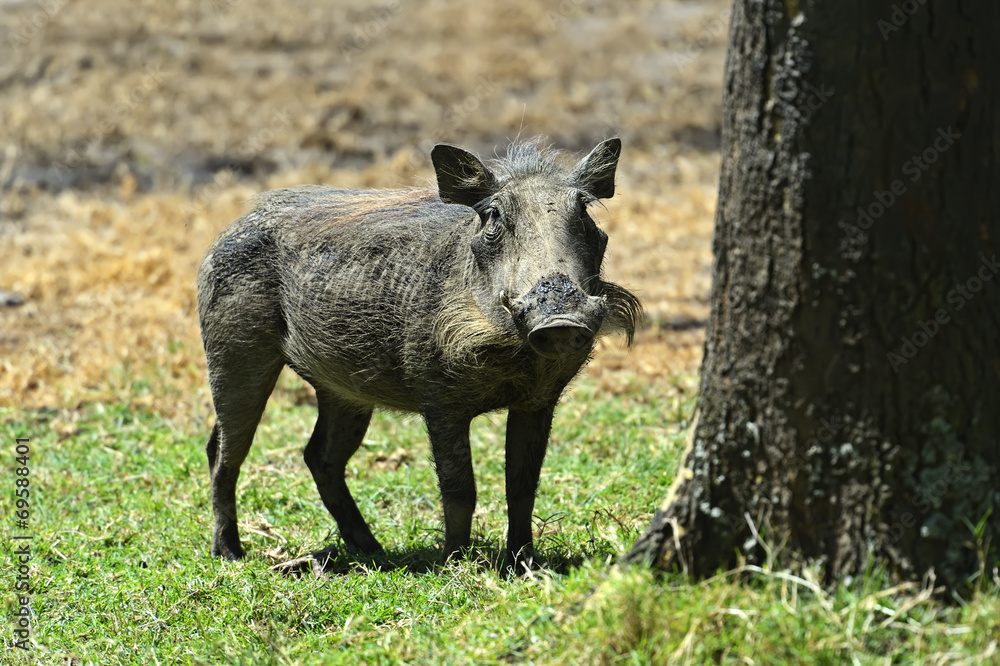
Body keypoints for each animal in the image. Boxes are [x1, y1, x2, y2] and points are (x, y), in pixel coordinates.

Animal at [197, 138, 641, 573]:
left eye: (583, 210)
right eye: (494, 214)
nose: (560, 319)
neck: (512, 355)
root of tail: (230, 227)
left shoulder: (537, 403)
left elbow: (522, 486)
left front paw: (525, 565)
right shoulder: (442, 404)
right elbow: (459, 488)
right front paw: (455, 565)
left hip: (344, 392)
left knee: (320, 458)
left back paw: (370, 550)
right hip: (236, 359)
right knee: (223, 453)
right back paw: (228, 553)